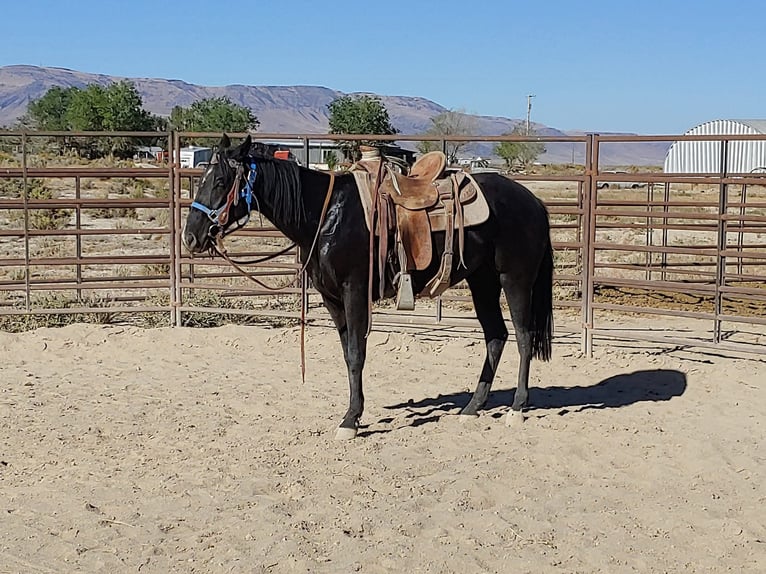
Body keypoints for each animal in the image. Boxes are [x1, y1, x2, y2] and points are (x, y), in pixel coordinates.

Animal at [182, 134, 554, 439]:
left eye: (220, 181)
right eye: (201, 179)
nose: (191, 237)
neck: (324, 215)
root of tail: (534, 202)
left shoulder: (354, 291)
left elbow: (357, 354)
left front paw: (350, 420)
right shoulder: (332, 298)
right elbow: (348, 354)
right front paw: (354, 413)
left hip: (514, 280)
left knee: (523, 337)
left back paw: (517, 408)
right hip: (482, 282)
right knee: (496, 336)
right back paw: (472, 407)